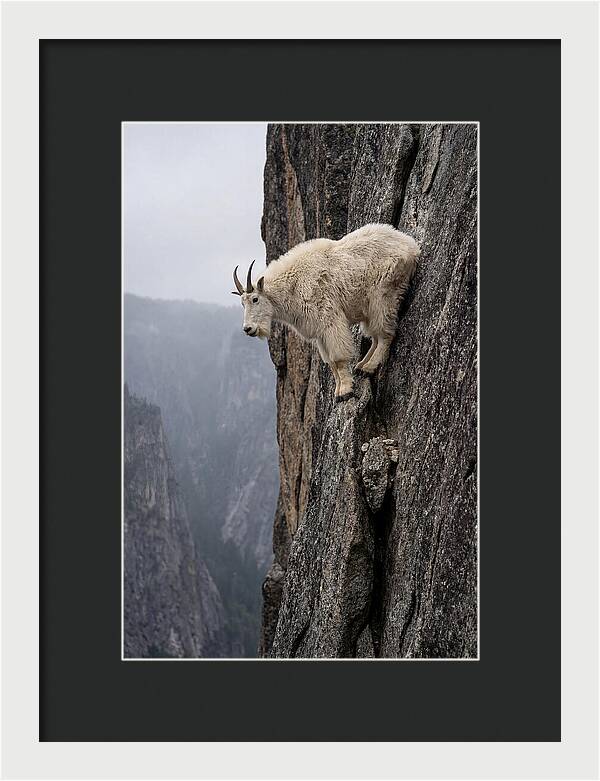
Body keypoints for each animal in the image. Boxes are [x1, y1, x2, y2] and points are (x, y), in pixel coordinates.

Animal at [232, 223, 420, 401]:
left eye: (255, 299)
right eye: (242, 303)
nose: (248, 329)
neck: (293, 286)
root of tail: (411, 245)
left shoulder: (329, 320)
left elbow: (338, 358)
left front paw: (345, 391)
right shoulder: (319, 333)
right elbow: (330, 363)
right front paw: (337, 391)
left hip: (383, 295)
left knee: (385, 333)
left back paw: (369, 367)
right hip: (369, 307)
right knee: (375, 336)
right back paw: (361, 366)